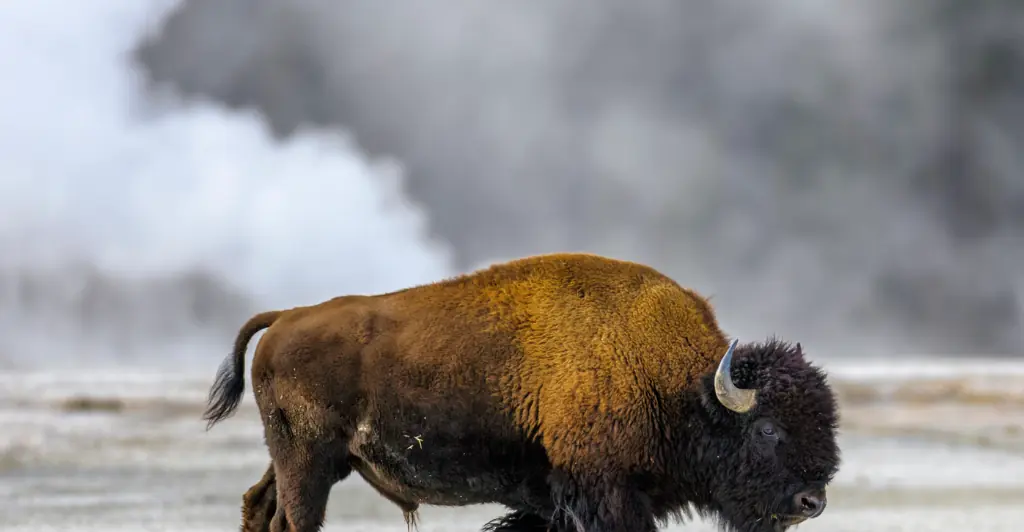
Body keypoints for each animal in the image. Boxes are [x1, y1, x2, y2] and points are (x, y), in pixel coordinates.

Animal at [203, 253, 840, 532]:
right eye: (766, 428)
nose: (813, 502)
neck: (676, 386)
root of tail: (286, 317)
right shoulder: (603, 493)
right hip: (307, 460)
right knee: (293, 521)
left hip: (304, 458)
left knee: (259, 504)